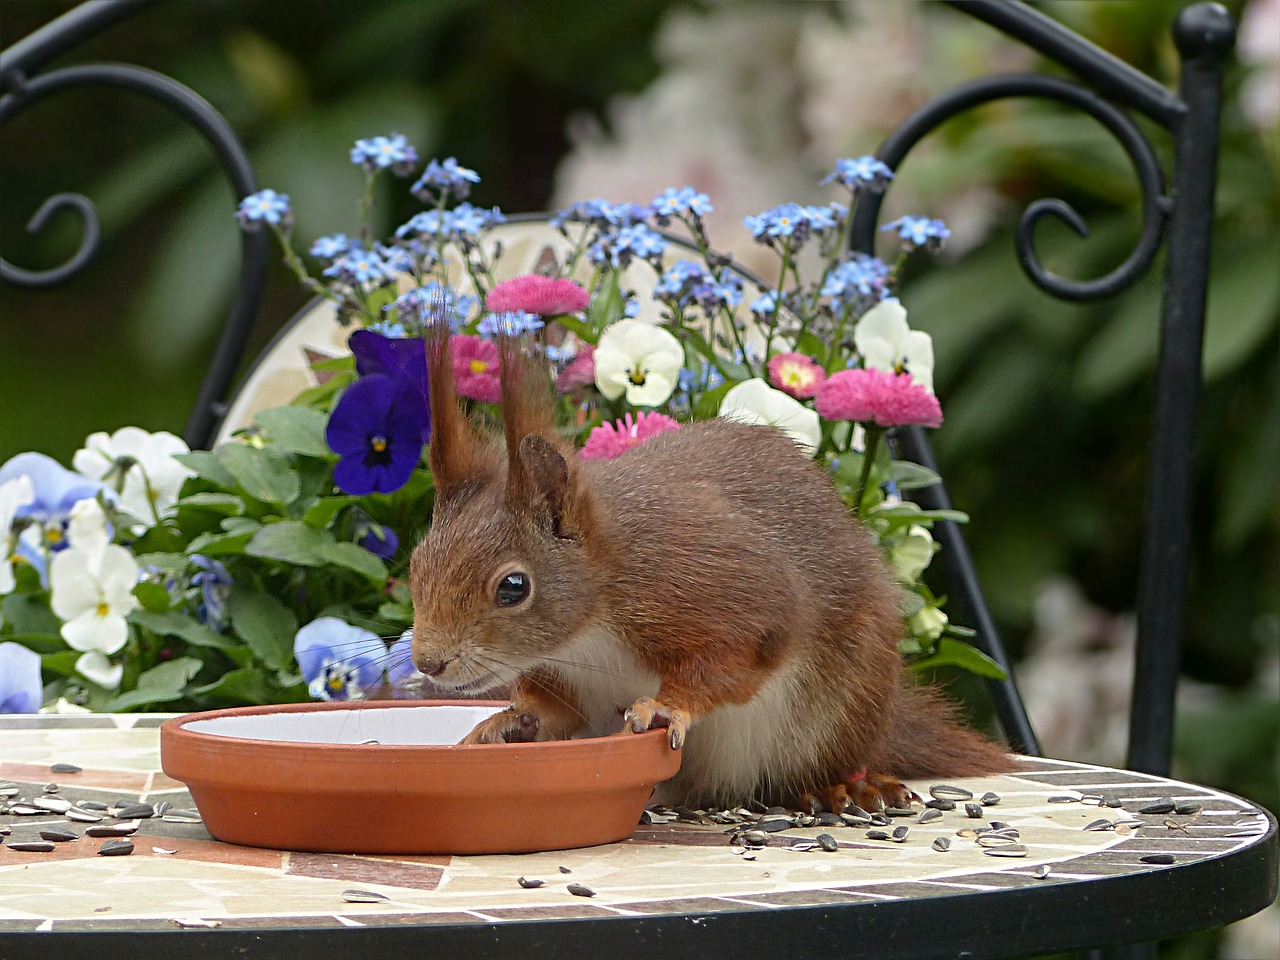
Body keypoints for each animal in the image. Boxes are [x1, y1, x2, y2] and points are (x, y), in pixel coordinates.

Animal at [409, 330, 1008, 814]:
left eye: (514, 587)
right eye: (416, 565)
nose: (428, 662)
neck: (589, 627)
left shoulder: (703, 582)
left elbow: (744, 645)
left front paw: (666, 704)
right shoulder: (568, 675)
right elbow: (559, 713)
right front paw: (512, 721)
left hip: (841, 708)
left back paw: (841, 787)